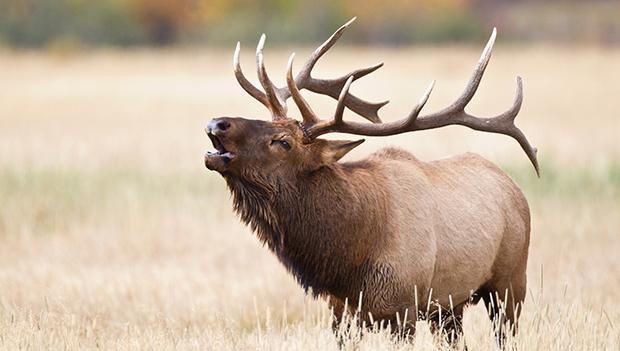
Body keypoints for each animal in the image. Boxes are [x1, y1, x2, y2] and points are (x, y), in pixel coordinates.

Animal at [203, 17, 536, 348]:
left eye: (283, 142)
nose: (217, 123)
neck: (350, 259)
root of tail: (515, 189)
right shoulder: (341, 311)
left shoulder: (404, 307)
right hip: (449, 306)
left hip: (510, 282)